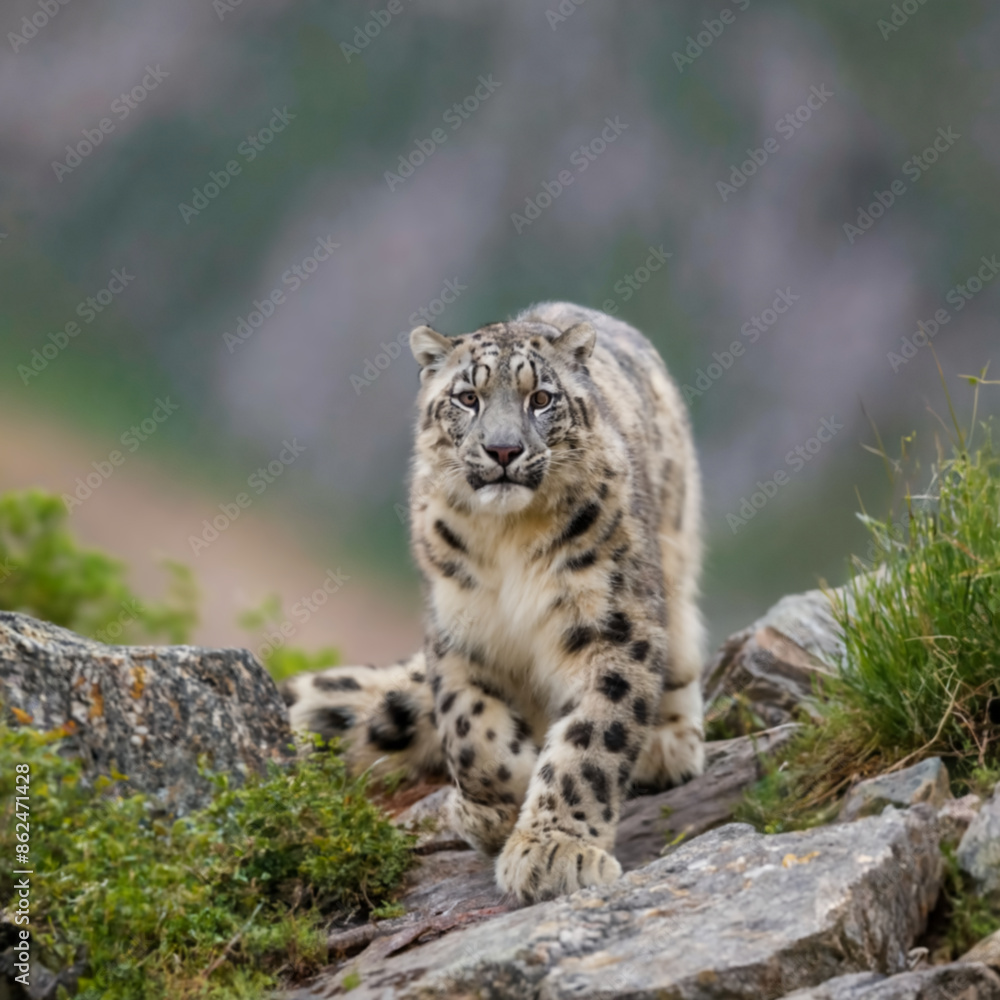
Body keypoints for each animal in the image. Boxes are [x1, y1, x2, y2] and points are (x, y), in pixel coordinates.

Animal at [282, 301, 705, 904]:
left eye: (542, 398)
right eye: (467, 397)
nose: (503, 450)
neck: (510, 538)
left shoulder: (611, 624)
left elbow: (592, 738)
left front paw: (555, 850)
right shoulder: (459, 630)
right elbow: (472, 735)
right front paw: (496, 811)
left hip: (675, 541)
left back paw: (667, 745)